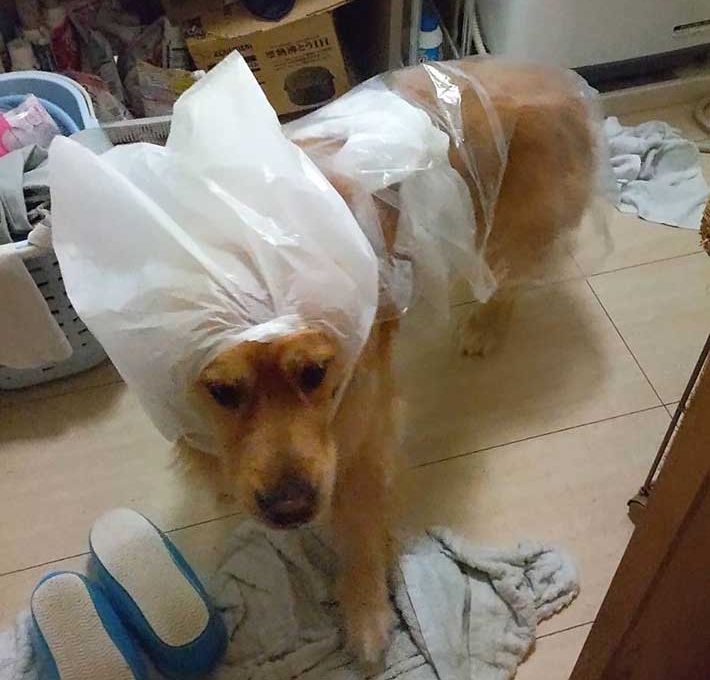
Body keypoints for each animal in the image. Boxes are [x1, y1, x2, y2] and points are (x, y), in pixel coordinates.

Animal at [180, 59, 596, 664]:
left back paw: (485, 324)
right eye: (223, 392)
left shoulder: (364, 425)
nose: (290, 509)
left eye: (315, 375)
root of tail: (559, 76)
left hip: (508, 220)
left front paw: (367, 614)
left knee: (507, 278)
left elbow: (359, 522)